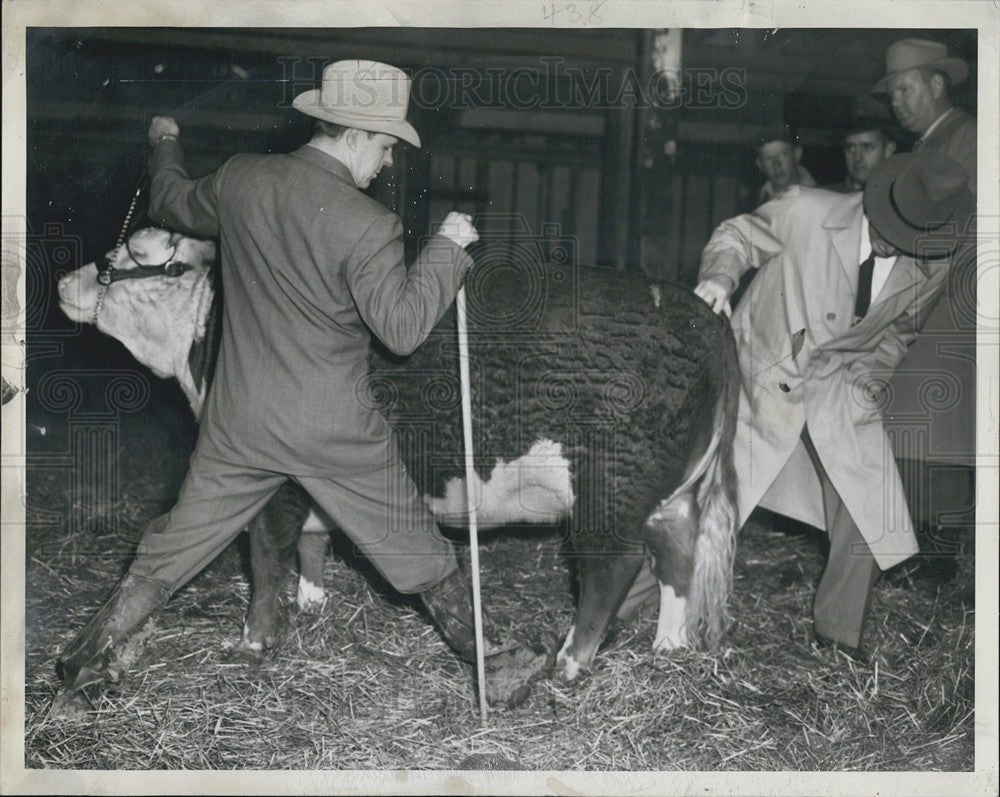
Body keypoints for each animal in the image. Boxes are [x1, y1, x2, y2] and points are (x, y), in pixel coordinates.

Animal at [56, 224, 744, 684]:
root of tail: (705, 318)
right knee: (678, 555)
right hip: (672, 493)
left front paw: (254, 640)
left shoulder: (275, 469)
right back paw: (669, 645)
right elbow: (312, 536)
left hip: (608, 490)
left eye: (144, 258)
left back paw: (570, 662)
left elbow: (266, 549)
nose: (66, 279)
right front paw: (313, 601)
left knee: (614, 566)